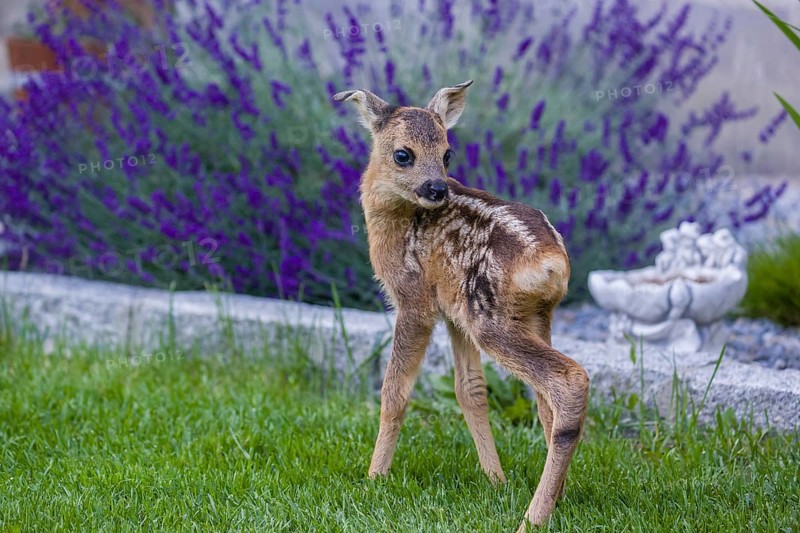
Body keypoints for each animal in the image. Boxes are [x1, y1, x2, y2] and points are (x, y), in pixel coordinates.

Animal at [332, 80, 590, 530]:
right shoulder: (452, 312)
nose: (437, 188)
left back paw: (533, 518)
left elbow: (394, 391)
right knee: (546, 402)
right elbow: (470, 391)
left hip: (490, 318)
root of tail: (550, 261)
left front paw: (373, 480)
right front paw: (496, 479)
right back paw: (555, 499)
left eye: (447, 153)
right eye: (403, 154)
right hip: (530, 315)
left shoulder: (414, 299)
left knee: (569, 380)